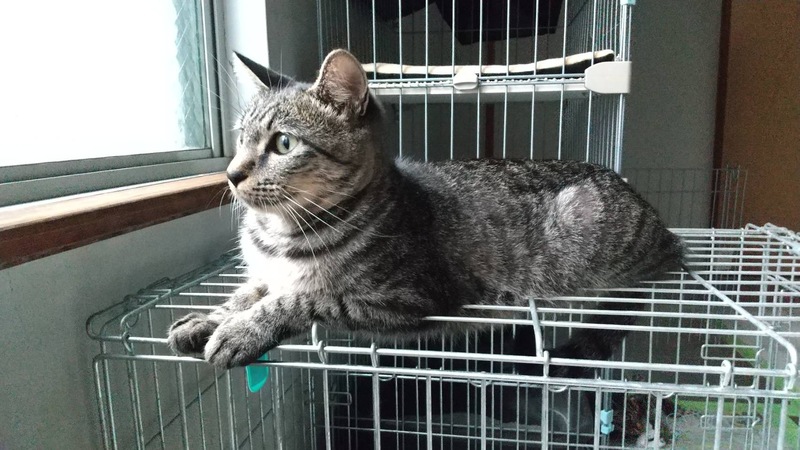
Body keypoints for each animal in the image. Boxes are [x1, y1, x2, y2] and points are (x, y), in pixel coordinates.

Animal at [167, 49, 685, 375]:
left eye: (283, 144)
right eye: (240, 139)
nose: (231, 173)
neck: (279, 235)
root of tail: (667, 231)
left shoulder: (406, 298)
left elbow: (302, 298)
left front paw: (242, 331)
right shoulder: (264, 273)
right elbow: (245, 292)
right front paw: (206, 319)